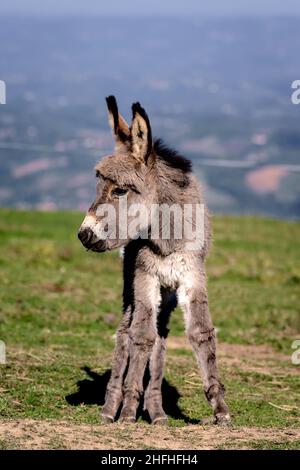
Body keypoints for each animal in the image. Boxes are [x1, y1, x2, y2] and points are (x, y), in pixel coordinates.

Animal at [78, 95, 230, 426]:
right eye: (98, 187)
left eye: (120, 190)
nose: (83, 235)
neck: (167, 238)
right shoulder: (144, 276)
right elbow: (140, 337)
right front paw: (127, 411)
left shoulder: (192, 275)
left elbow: (200, 333)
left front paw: (221, 410)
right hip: (131, 284)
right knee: (126, 333)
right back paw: (112, 407)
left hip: (167, 293)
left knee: (161, 336)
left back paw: (157, 411)